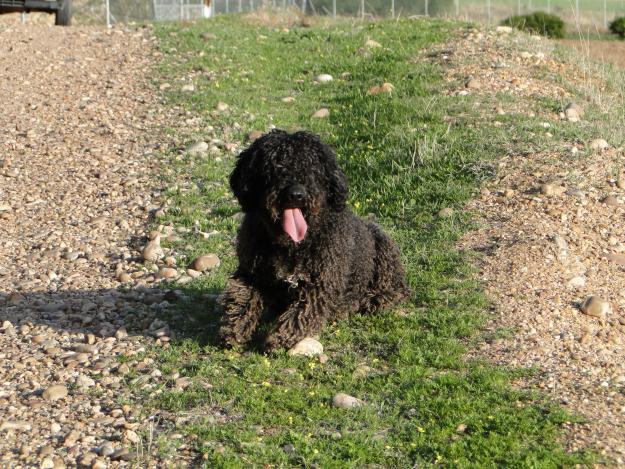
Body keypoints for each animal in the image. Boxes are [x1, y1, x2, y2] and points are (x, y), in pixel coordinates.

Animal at [219, 129, 410, 352]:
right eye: (274, 166)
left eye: (312, 168)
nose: (296, 194)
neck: (292, 245)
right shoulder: (251, 273)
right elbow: (241, 297)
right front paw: (235, 328)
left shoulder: (319, 284)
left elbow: (302, 312)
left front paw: (281, 337)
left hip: (382, 244)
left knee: (397, 290)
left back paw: (372, 300)